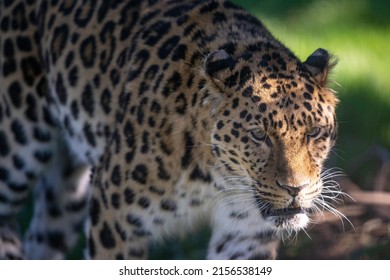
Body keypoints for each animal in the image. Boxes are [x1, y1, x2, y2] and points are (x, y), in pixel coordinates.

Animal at [0, 0, 340, 260]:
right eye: (259, 135)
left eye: (315, 132)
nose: (295, 189)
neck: (216, 178)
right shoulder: (115, 221)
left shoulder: (246, 235)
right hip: (16, 147)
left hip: (70, 192)